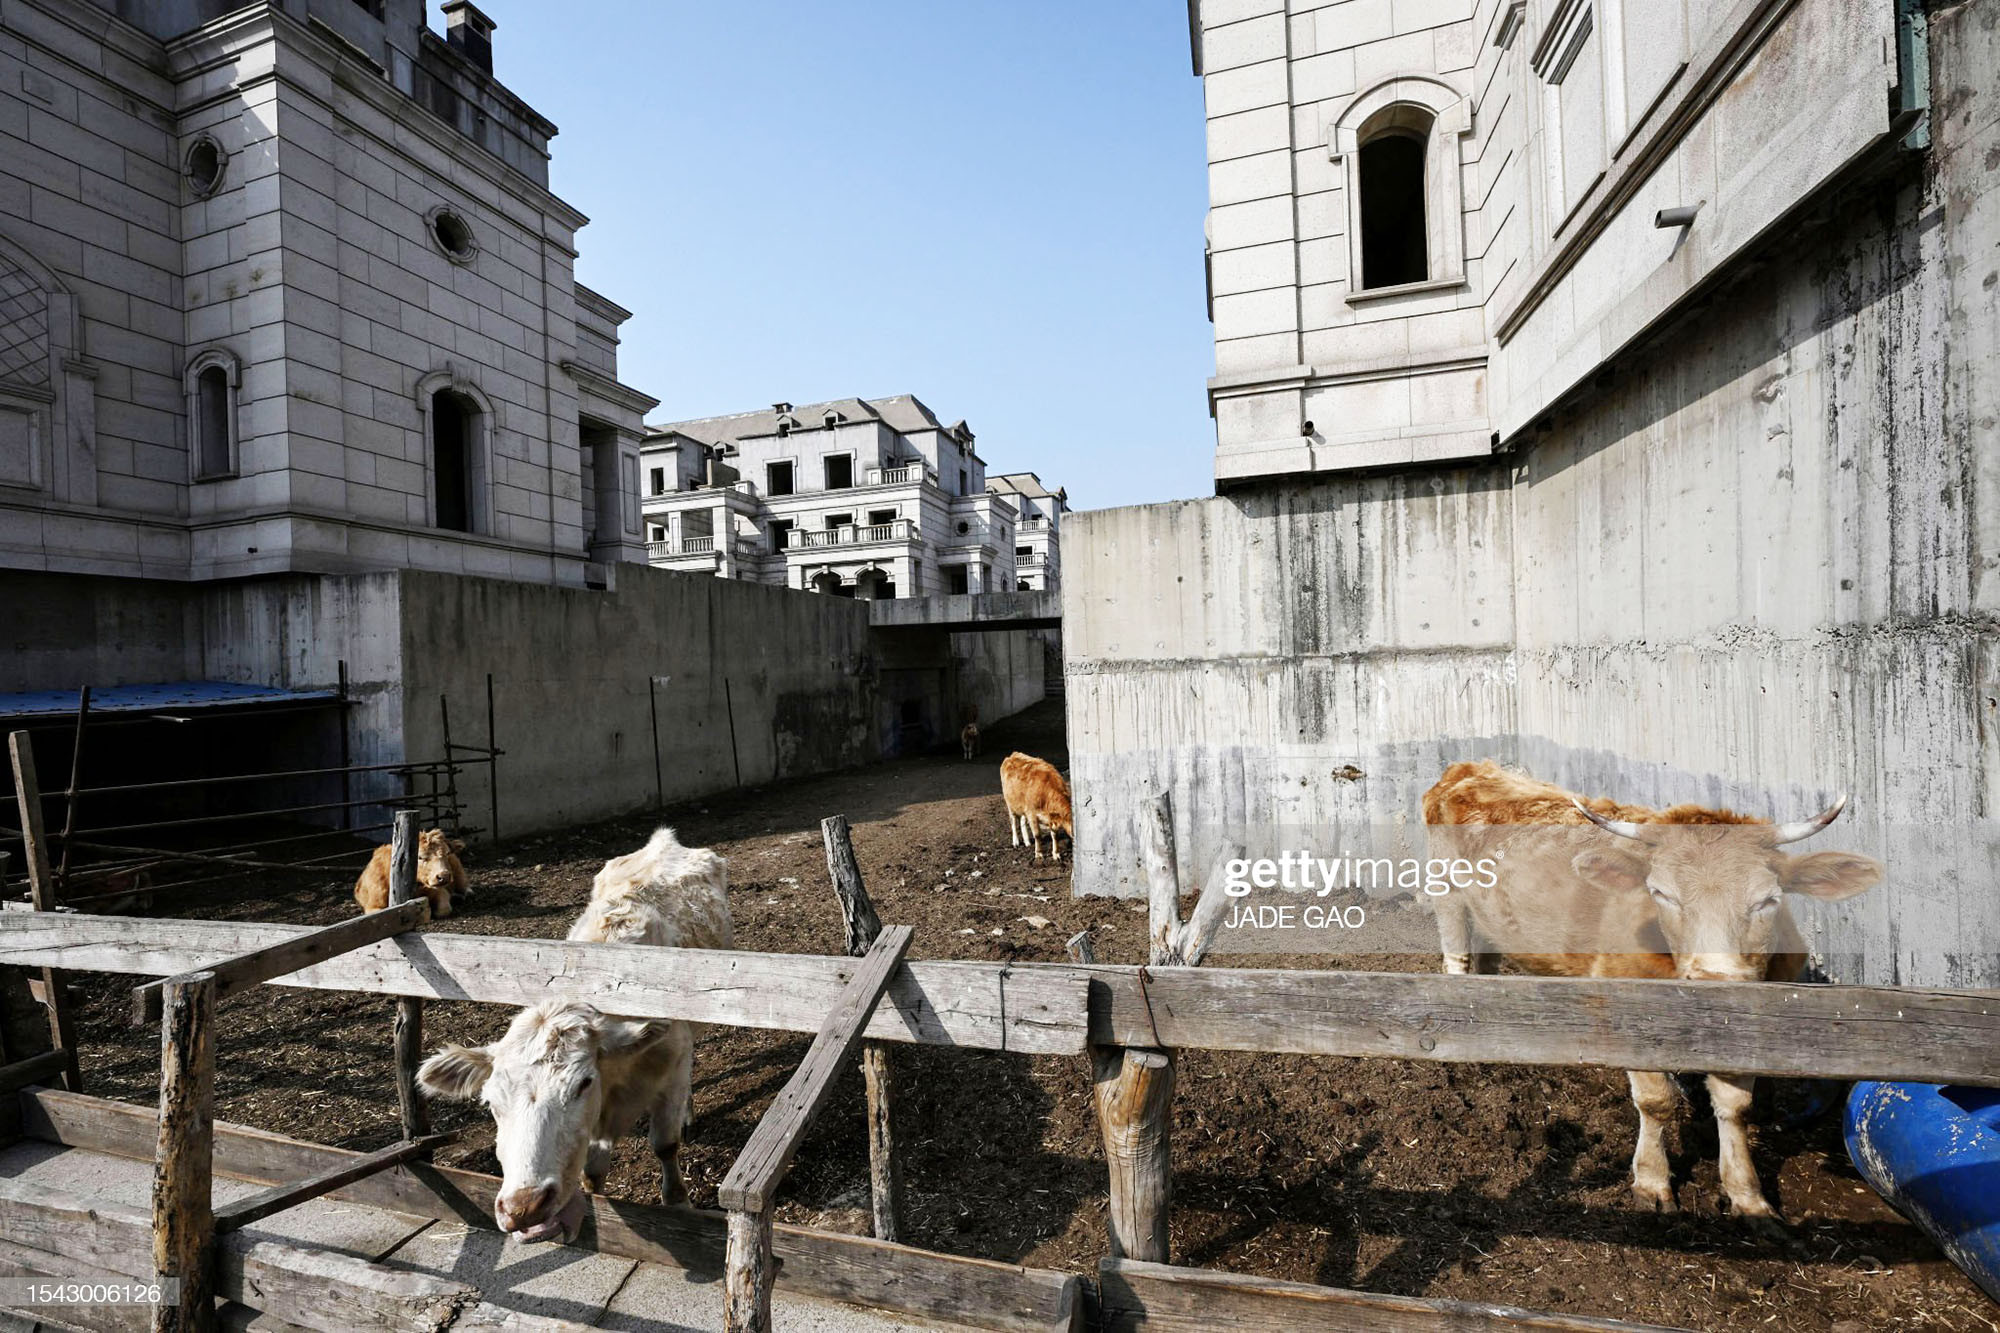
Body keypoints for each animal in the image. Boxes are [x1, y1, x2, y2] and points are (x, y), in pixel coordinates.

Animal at [416, 824, 736, 1240]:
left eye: (583, 1083)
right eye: (490, 1101)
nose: (523, 1207)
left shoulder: (671, 1065)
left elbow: (665, 1144)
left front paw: (678, 1202)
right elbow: (593, 1170)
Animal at [1424, 756, 1872, 1224]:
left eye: (1768, 900)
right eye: (1661, 894)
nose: (1714, 984)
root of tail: (1471, 768)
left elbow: (1734, 1105)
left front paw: (1748, 1197)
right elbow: (1657, 1101)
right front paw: (1653, 1182)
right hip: (1448, 896)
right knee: (1457, 961)